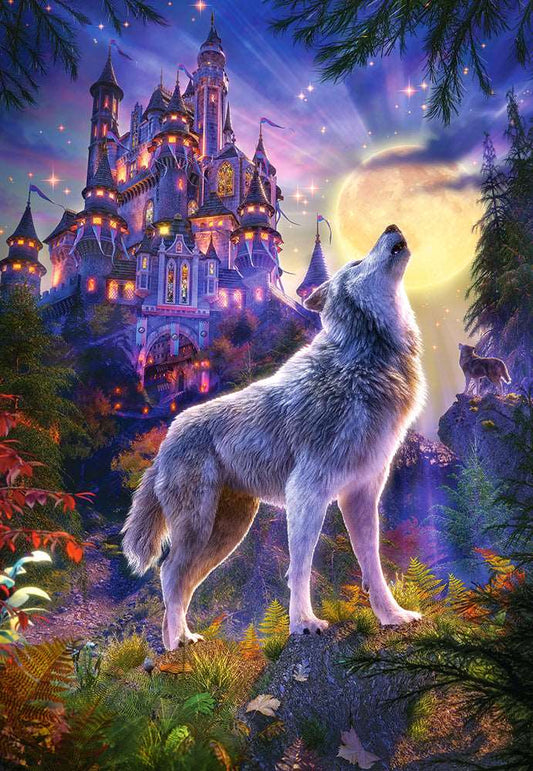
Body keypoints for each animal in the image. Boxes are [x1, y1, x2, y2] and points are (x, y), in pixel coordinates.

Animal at [122, 224, 426, 649]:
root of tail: (166, 441)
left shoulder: (361, 494)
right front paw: (304, 624)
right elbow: (300, 568)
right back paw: (176, 645)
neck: (363, 361)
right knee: (169, 574)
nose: (392, 227)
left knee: (183, 581)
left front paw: (393, 616)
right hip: (201, 527)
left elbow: (373, 567)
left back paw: (181, 641)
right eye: (356, 262)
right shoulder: (307, 491)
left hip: (227, 535)